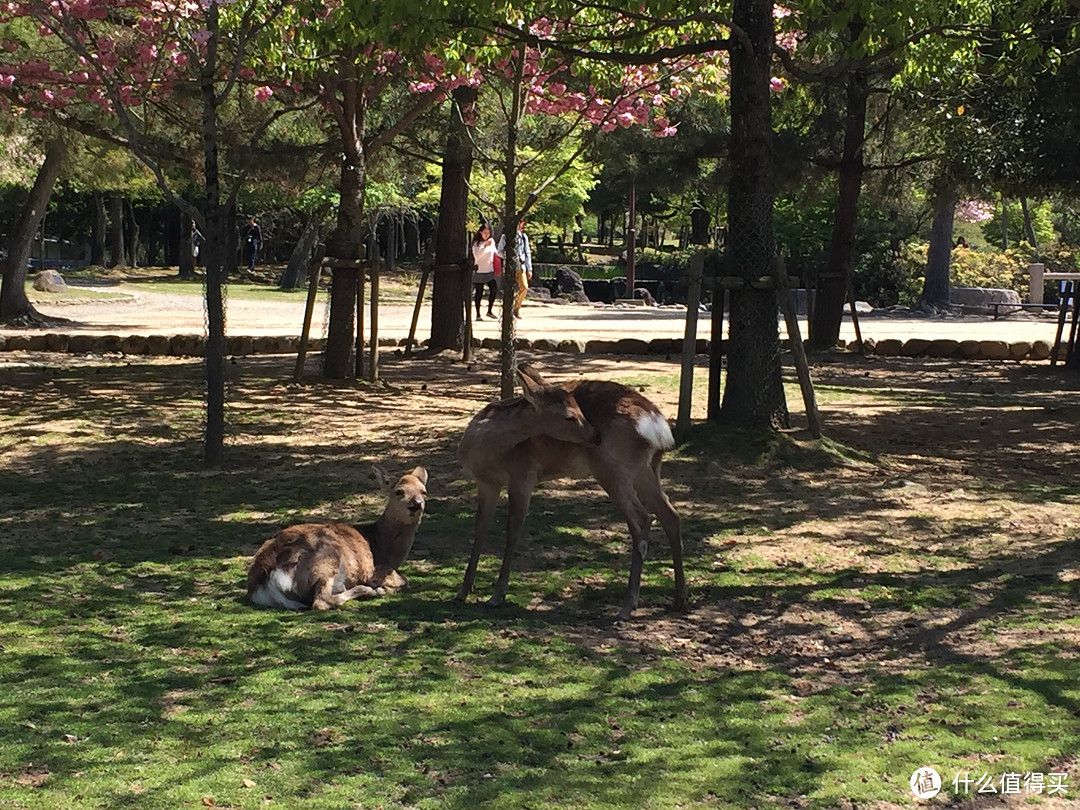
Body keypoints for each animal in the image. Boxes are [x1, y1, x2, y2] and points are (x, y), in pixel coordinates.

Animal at [247, 466, 427, 613]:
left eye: (424, 491)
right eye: (399, 491)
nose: (416, 504)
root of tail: (260, 584)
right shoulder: (374, 570)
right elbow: (405, 580)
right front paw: (382, 589)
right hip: (327, 558)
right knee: (321, 601)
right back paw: (367, 591)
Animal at [455, 367, 682, 622]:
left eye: (580, 409)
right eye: (569, 416)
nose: (595, 436)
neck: (486, 452)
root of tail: (659, 429)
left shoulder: (523, 475)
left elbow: (512, 530)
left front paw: (496, 596)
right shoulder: (486, 483)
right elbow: (480, 530)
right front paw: (462, 591)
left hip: (612, 468)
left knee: (642, 519)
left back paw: (627, 607)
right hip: (646, 469)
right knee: (670, 515)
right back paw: (679, 599)